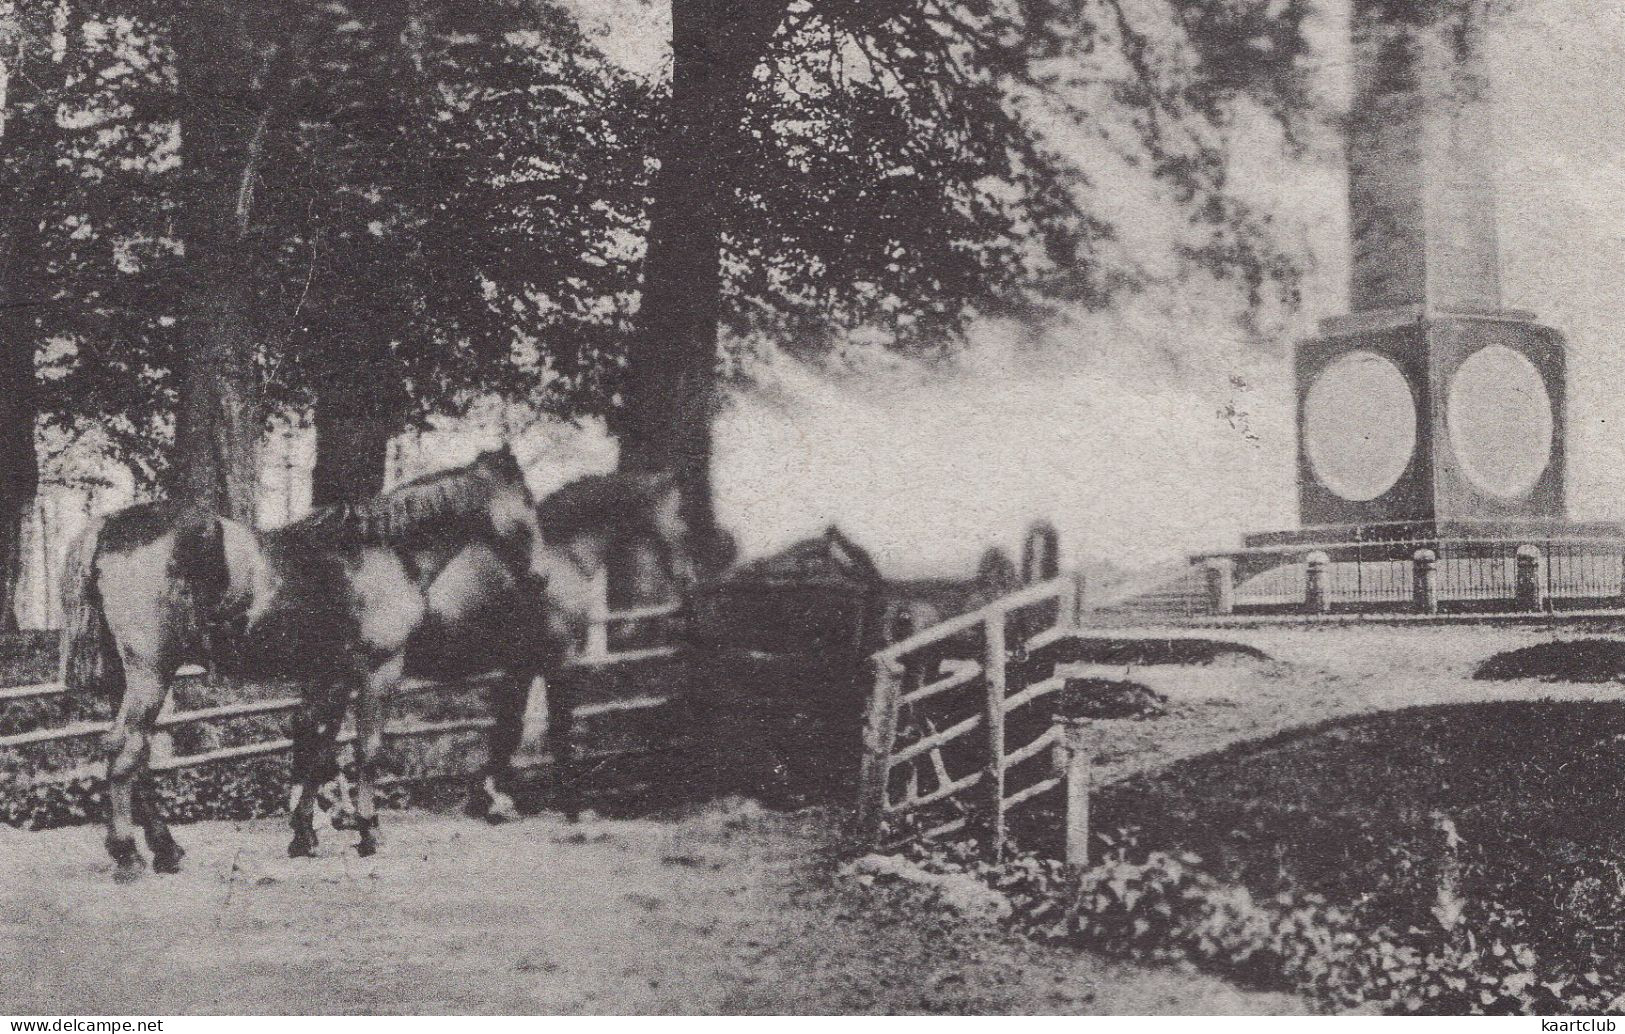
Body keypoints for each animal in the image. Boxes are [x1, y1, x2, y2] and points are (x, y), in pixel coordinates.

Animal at [61, 445, 552, 877]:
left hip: (123, 680)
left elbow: (315, 748)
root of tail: (110, 525)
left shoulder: (328, 676)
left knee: (136, 756)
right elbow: (366, 749)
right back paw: (128, 854)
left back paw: (166, 849)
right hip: (151, 674)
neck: (384, 553)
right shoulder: (378, 671)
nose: (542, 576)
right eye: (528, 501)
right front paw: (368, 831)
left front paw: (304, 836)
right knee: (124, 749)